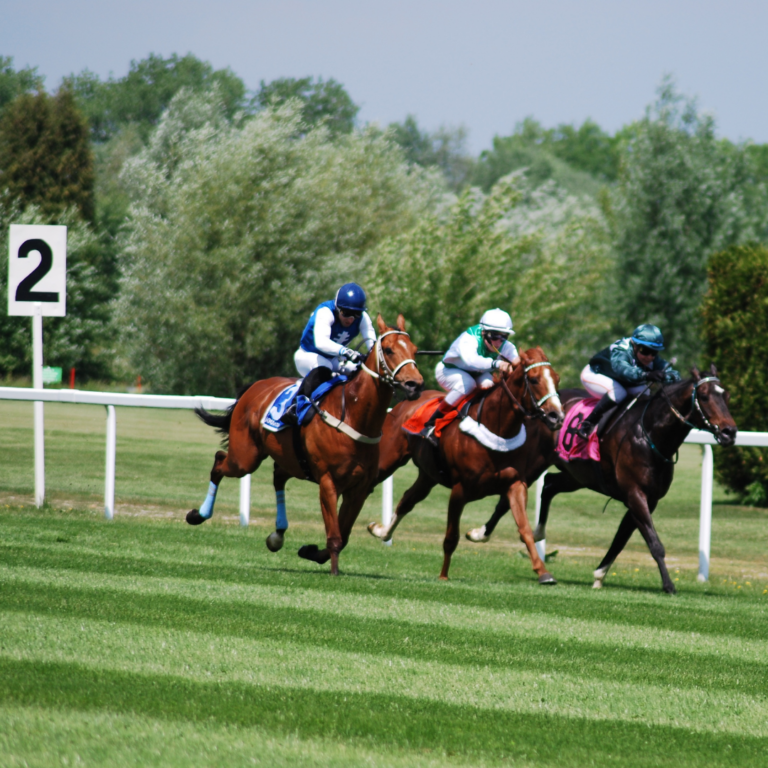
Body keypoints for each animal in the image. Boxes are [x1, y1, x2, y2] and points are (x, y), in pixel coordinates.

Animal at [188, 316, 424, 572]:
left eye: (414, 350)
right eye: (389, 350)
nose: (415, 385)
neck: (353, 415)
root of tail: (256, 387)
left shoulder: (359, 488)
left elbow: (344, 534)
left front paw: (312, 552)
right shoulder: (329, 482)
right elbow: (335, 535)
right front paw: (333, 571)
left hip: (288, 459)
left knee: (278, 476)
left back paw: (277, 534)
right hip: (245, 457)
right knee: (220, 461)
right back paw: (198, 515)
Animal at [368, 348, 564, 584]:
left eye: (556, 379)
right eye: (534, 380)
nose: (557, 416)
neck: (497, 430)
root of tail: (405, 402)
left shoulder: (516, 484)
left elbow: (524, 528)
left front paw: (543, 572)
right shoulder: (459, 490)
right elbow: (451, 536)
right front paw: (443, 575)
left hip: (428, 475)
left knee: (407, 500)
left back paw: (381, 531)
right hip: (387, 461)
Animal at [464, 366, 736, 592]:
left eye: (726, 396)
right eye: (704, 396)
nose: (729, 432)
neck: (650, 433)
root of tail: (538, 408)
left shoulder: (646, 499)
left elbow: (620, 539)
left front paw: (599, 575)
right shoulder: (635, 494)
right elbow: (654, 543)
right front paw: (669, 586)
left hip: (577, 475)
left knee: (549, 484)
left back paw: (539, 531)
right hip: (534, 464)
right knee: (507, 498)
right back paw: (481, 533)